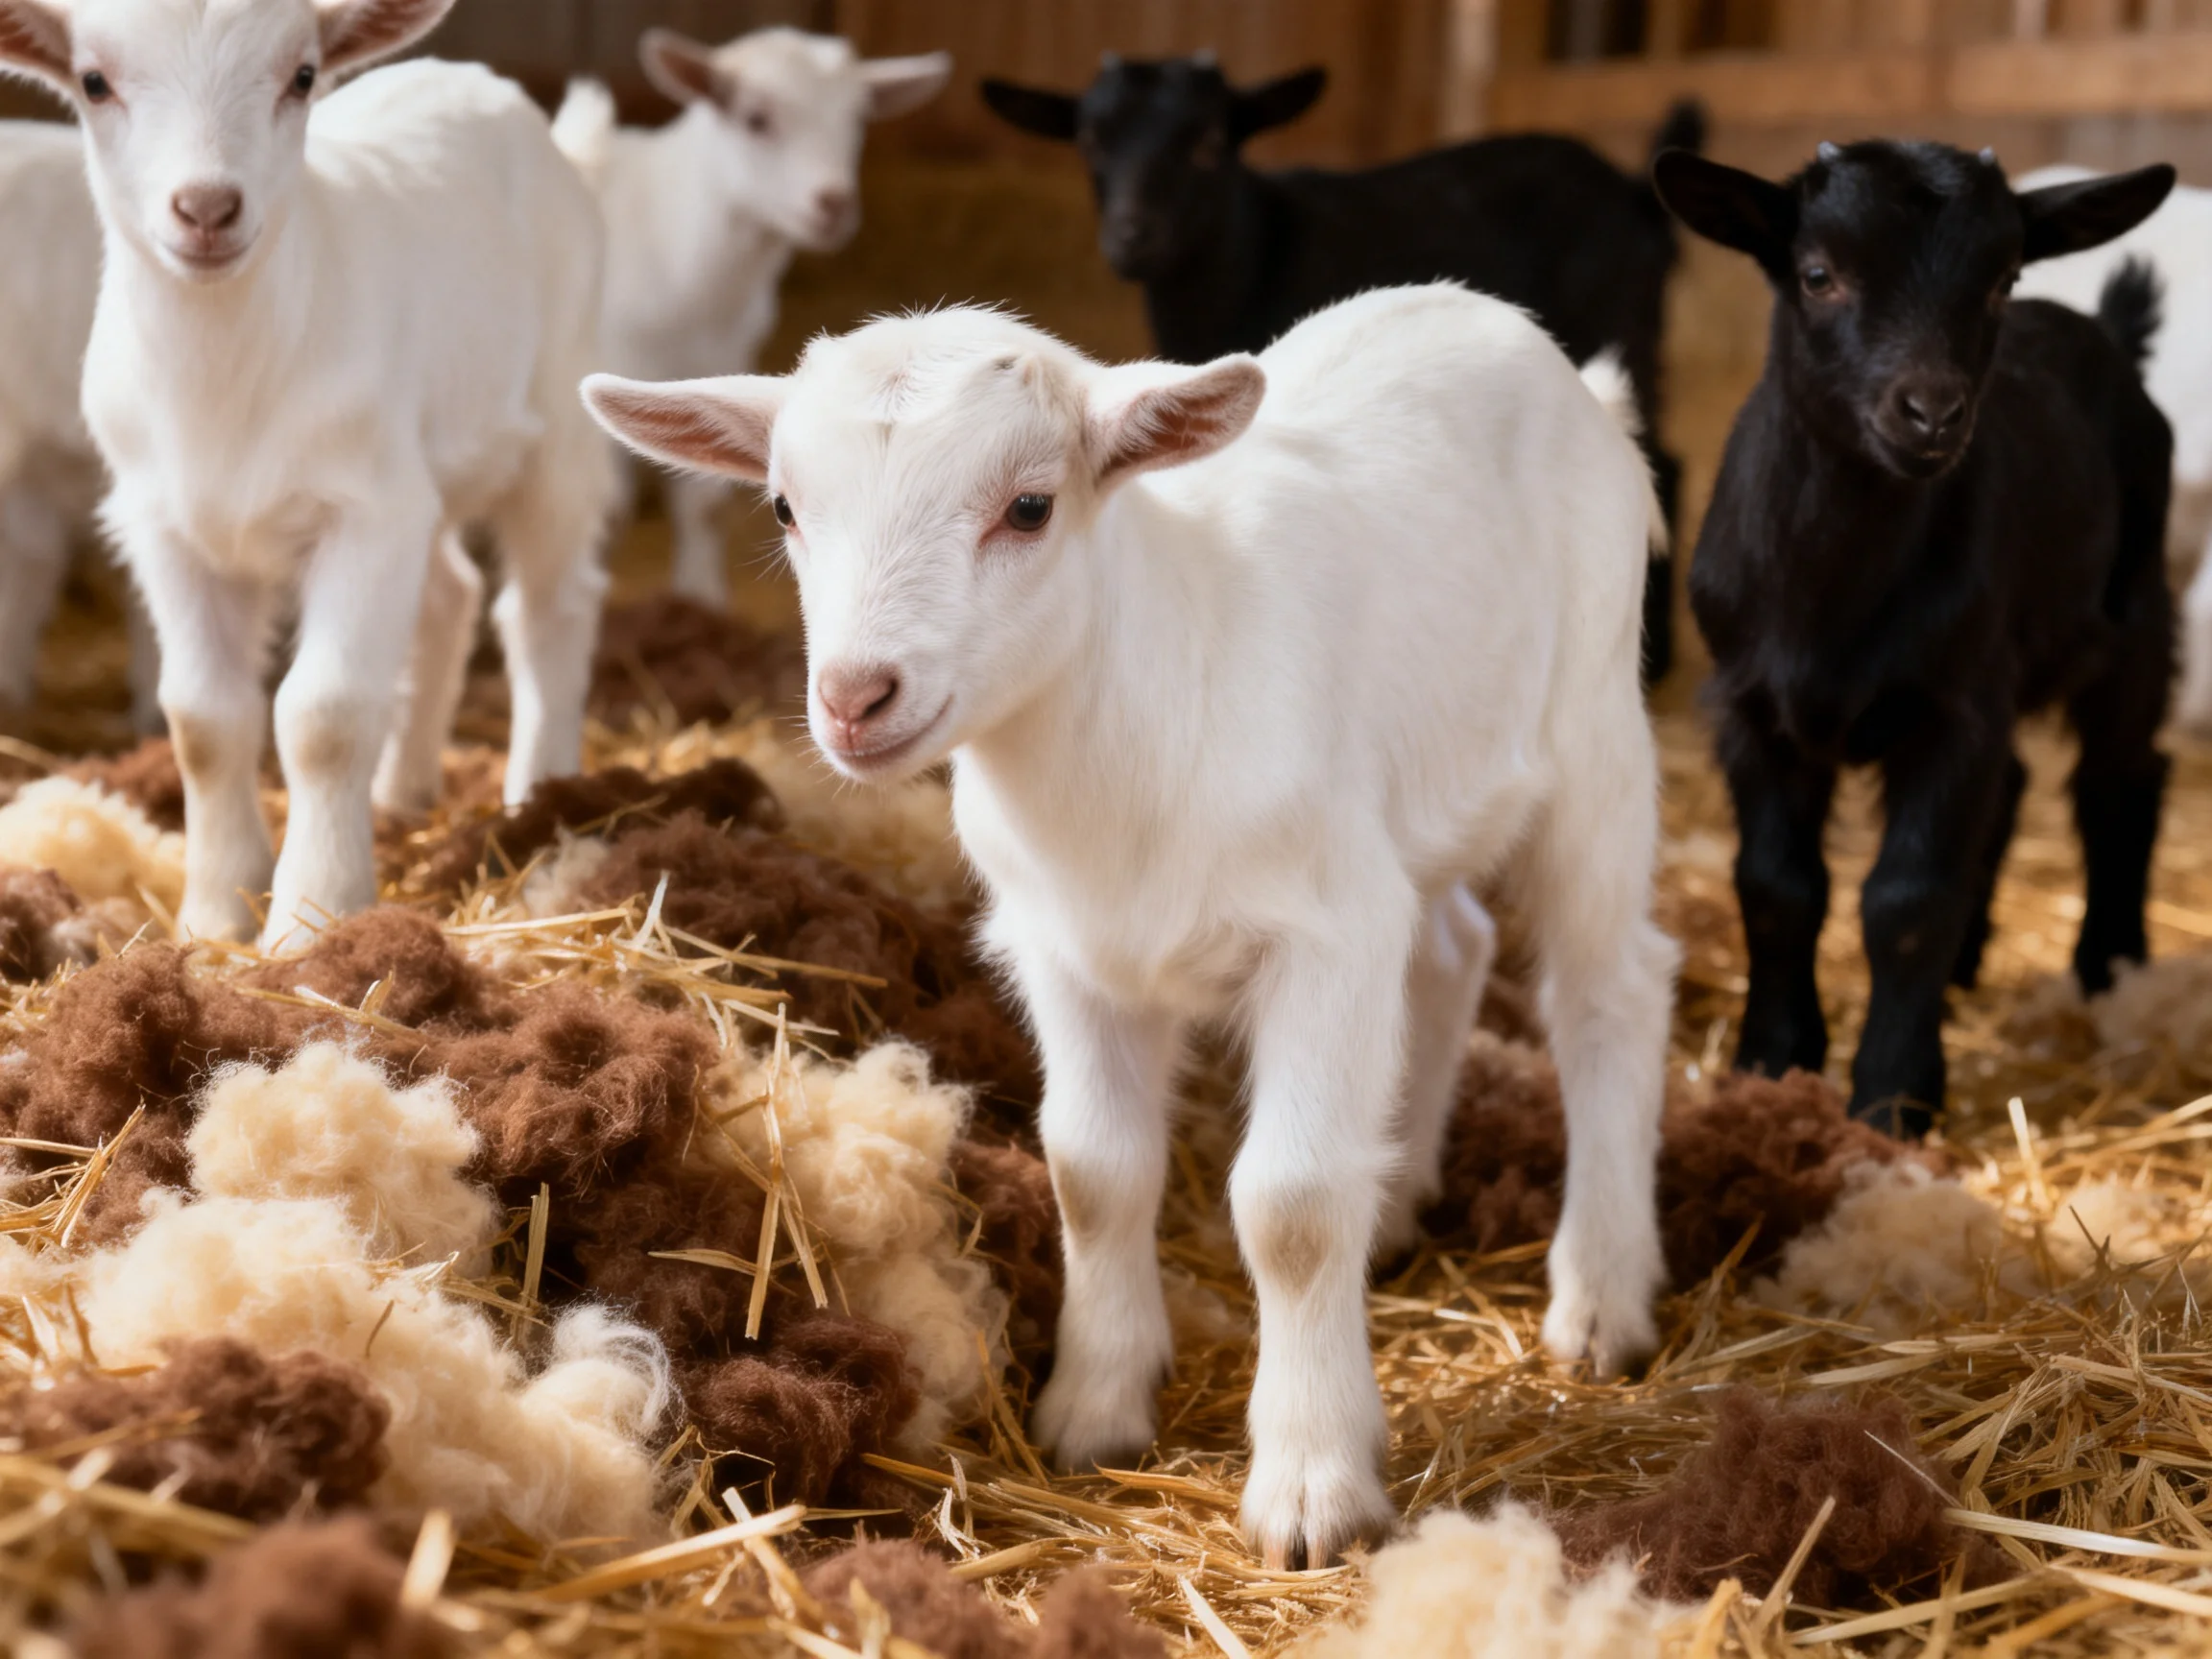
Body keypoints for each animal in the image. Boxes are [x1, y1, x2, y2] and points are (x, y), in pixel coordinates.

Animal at [0, 0, 615, 950]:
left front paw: (312, 915)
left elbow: (322, 716)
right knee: (450, 594)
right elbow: (204, 718)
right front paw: (215, 911)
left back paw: (537, 794)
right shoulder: (165, 526)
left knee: (549, 605)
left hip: (556, 418)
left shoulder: (364, 514)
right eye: (94, 81)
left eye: (301, 75)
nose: (207, 207)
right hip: (420, 471)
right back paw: (403, 792)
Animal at [553, 28, 949, 609]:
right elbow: (607, 512)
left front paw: (702, 599)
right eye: (755, 118)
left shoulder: (718, 363)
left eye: (856, 120)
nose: (833, 203)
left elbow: (703, 505)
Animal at [583, 283, 1677, 1569]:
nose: (855, 698)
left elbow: (1293, 1206)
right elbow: (1091, 1169)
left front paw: (1312, 1486)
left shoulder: (1324, 935)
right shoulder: (1070, 954)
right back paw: (1402, 1191)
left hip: (1594, 731)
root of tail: (1529, 345)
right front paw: (1094, 1407)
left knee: (1609, 988)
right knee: (1450, 946)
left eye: (1030, 506)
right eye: (786, 507)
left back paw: (1602, 1294)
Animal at [981, 55, 1701, 683]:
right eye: (1091, 141)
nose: (1132, 237)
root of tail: (1635, 194)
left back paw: (1657, 656)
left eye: (1210, 141)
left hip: (1622, 324)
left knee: (1663, 459)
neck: (1255, 249)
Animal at [1657, 141, 2176, 1135]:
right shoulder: (1750, 707)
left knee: (2121, 780)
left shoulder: (1953, 711)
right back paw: (1971, 961)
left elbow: (1907, 900)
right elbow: (1775, 886)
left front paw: (1894, 1096)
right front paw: (1772, 1061)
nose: (1931, 413)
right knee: (2013, 788)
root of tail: (2104, 330)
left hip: (2134, 611)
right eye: (1818, 275)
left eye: (2002, 281)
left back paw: (2109, 965)